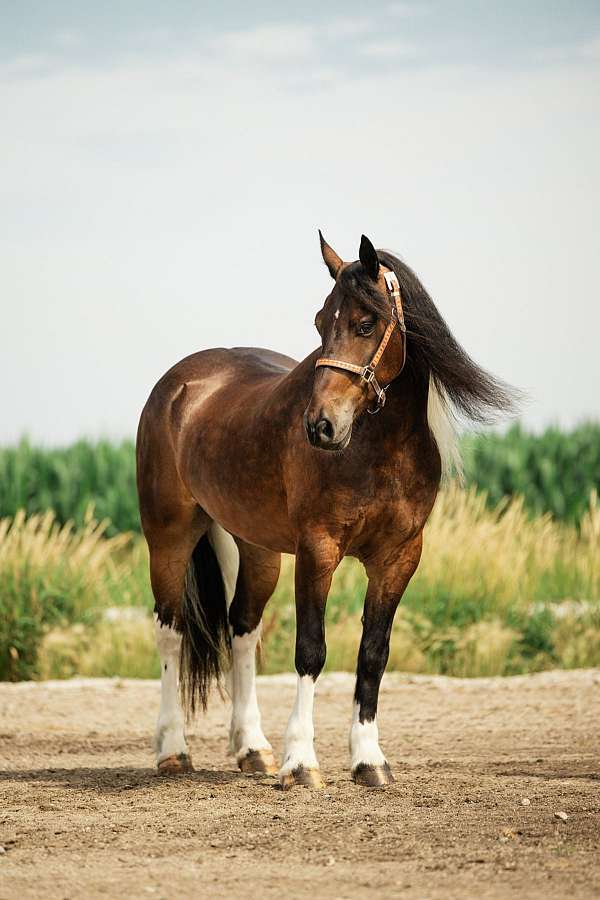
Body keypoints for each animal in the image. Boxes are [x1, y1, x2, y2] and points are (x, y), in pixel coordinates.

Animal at [136, 233, 515, 789]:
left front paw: (369, 760)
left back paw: (253, 749)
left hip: (258, 550)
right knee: (170, 633)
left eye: (366, 323)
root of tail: (180, 384)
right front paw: (300, 762)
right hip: (169, 536)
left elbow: (373, 653)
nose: (320, 427)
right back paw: (173, 751)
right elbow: (311, 650)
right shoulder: (319, 551)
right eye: (320, 322)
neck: (378, 450)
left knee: (242, 629)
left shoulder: (399, 558)